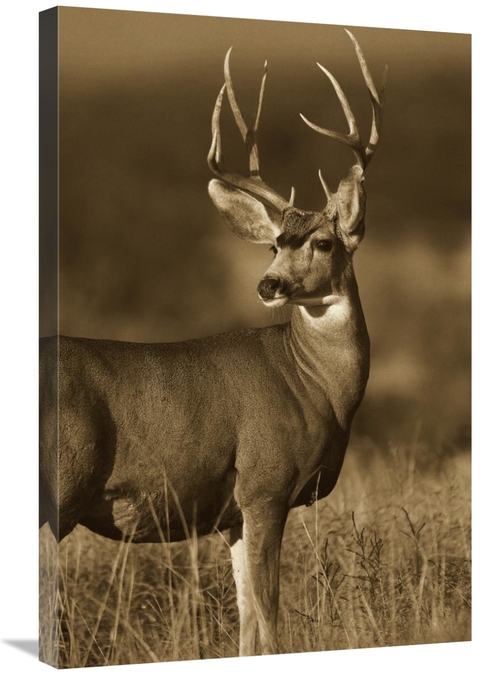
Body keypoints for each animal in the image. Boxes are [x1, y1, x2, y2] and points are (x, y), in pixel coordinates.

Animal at [39, 29, 386, 657]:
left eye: (323, 242)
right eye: (275, 244)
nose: (268, 284)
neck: (316, 387)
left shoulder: (233, 514)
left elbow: (248, 623)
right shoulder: (265, 484)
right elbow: (271, 620)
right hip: (60, 484)